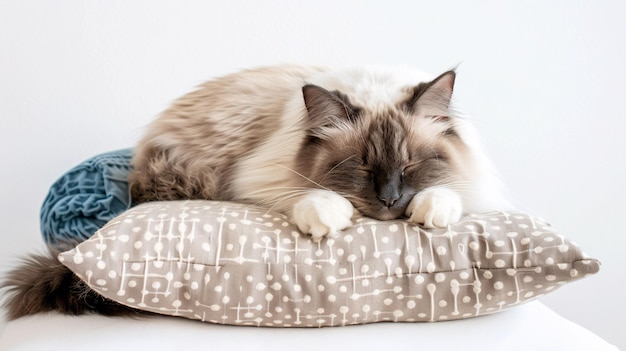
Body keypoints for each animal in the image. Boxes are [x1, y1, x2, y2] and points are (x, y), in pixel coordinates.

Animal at [1, 64, 508, 320]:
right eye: (361, 167)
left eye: (410, 166)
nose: (388, 200)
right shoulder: (257, 179)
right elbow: (310, 199)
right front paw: (328, 218)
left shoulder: (474, 183)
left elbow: (450, 195)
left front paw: (431, 211)